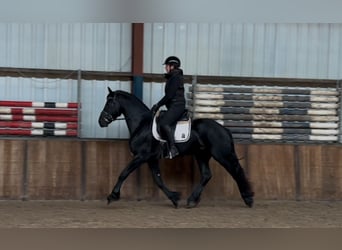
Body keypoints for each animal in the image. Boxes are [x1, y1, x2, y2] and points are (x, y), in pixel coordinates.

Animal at [97, 87, 252, 208]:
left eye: (110, 102)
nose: (101, 122)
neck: (142, 124)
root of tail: (224, 129)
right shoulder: (151, 158)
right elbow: (158, 180)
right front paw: (174, 197)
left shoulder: (141, 156)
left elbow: (124, 173)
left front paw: (112, 196)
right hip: (201, 155)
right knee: (207, 175)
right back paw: (192, 200)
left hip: (221, 154)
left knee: (236, 171)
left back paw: (248, 198)